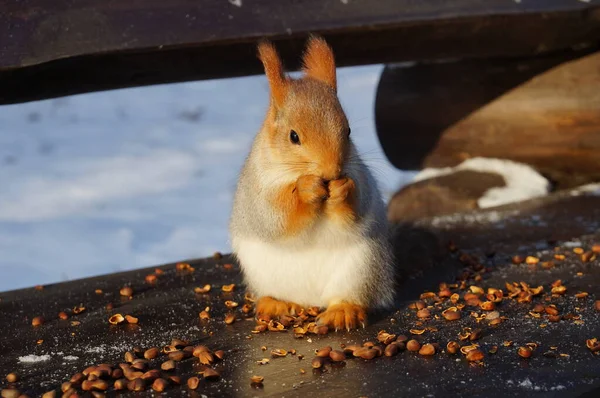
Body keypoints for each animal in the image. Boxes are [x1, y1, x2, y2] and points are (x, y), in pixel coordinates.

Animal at [229, 35, 394, 332]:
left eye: (348, 131)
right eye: (293, 136)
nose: (331, 172)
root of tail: (310, 299)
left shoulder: (360, 175)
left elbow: (359, 205)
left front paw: (342, 190)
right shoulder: (257, 190)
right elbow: (275, 215)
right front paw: (306, 190)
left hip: (362, 268)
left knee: (348, 296)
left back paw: (343, 311)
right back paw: (274, 304)